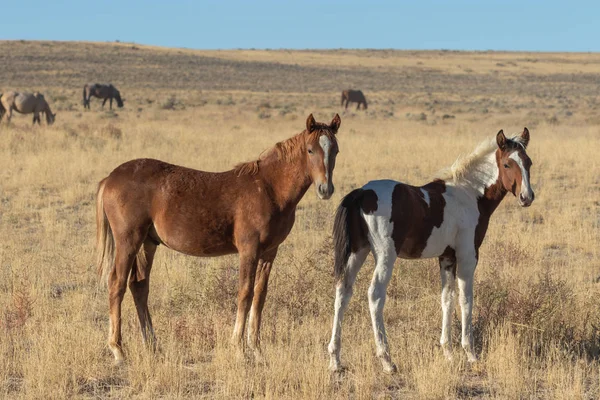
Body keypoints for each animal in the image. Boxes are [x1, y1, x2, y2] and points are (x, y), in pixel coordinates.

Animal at [98, 113, 342, 366]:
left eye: (335, 150)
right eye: (310, 150)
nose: (325, 189)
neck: (269, 189)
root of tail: (110, 178)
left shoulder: (269, 252)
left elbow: (260, 296)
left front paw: (256, 348)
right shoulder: (249, 250)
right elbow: (245, 294)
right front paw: (239, 349)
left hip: (148, 244)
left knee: (139, 286)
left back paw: (153, 346)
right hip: (128, 241)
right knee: (116, 284)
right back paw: (118, 350)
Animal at [328, 129, 536, 376]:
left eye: (528, 163)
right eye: (506, 164)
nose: (527, 197)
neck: (470, 195)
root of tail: (361, 193)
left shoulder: (446, 258)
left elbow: (447, 299)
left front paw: (448, 352)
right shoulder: (468, 256)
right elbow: (466, 300)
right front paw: (470, 354)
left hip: (357, 253)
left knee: (343, 292)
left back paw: (335, 359)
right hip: (385, 256)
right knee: (375, 295)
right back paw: (387, 360)